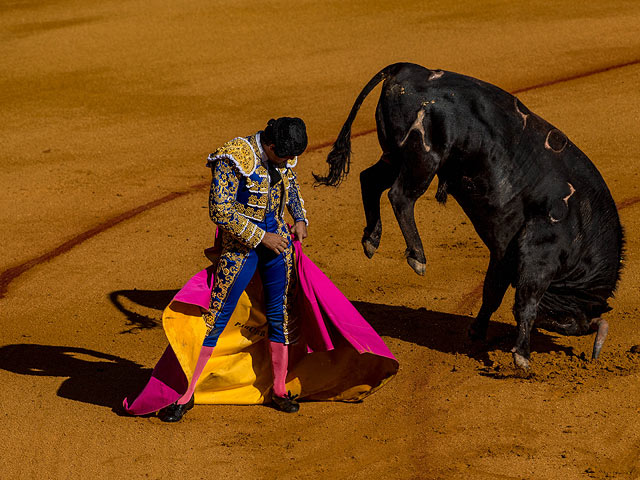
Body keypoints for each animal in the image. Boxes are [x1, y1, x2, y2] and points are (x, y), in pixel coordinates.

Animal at [316, 62, 624, 370]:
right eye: (569, 322)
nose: (554, 321)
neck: (582, 229)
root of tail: (408, 68)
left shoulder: (504, 255)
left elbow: (492, 292)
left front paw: (477, 331)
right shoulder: (540, 254)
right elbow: (525, 303)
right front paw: (522, 358)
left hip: (395, 155)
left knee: (369, 179)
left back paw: (372, 239)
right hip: (424, 158)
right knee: (400, 196)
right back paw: (417, 256)